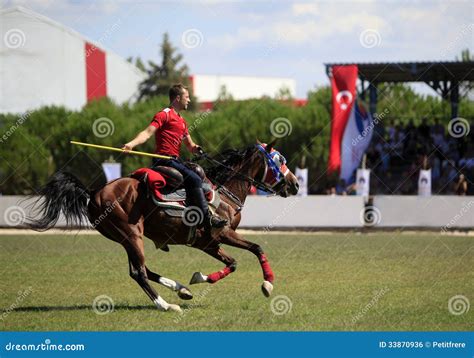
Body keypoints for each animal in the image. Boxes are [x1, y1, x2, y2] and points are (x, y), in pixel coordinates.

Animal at [27, 141, 298, 312]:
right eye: (280, 160)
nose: (295, 184)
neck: (224, 192)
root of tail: (92, 193)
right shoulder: (221, 233)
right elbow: (256, 247)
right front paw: (268, 284)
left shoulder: (208, 243)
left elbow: (233, 263)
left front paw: (199, 278)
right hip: (131, 233)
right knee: (138, 273)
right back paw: (166, 305)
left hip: (125, 238)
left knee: (142, 270)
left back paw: (181, 289)